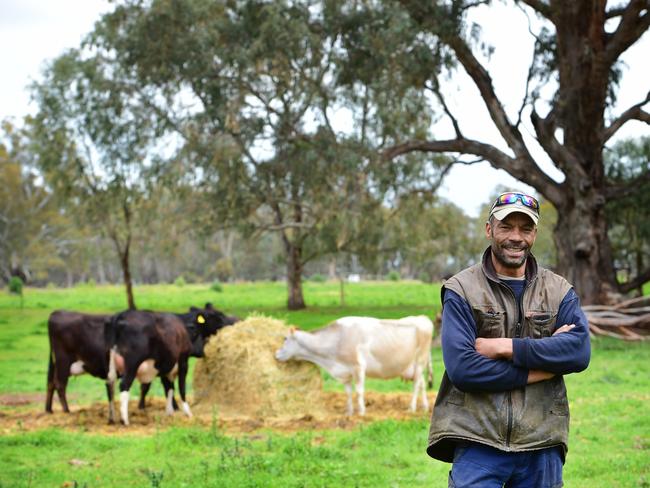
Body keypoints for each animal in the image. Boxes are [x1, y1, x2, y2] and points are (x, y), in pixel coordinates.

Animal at [270, 316, 432, 416]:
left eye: (285, 338)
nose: (276, 354)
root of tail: (422, 318)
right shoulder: (345, 372)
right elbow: (348, 393)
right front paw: (349, 412)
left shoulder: (358, 367)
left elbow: (359, 391)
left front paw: (361, 412)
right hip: (414, 367)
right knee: (422, 384)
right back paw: (425, 407)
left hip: (420, 361)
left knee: (416, 385)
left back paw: (412, 408)